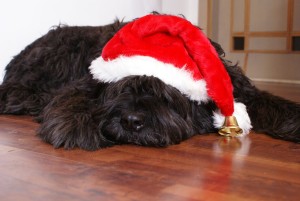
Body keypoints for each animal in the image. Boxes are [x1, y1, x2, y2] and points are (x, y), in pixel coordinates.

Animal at [0, 14, 298, 149]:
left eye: (165, 93)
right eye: (121, 89)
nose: (131, 122)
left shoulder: (236, 87)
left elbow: (268, 102)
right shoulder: (83, 83)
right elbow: (70, 99)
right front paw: (75, 124)